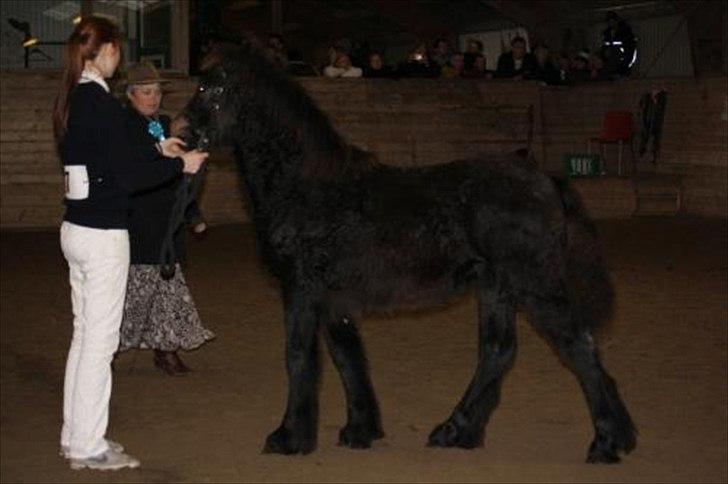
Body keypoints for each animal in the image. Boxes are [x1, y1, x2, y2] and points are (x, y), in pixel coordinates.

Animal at [180, 41, 637, 463]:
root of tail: (545, 179)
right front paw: (359, 430)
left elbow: (298, 357)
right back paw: (458, 431)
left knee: (578, 346)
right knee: (498, 351)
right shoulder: (334, 298)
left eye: (208, 87)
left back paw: (605, 442)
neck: (307, 186)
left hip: (535, 286)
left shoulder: (301, 288)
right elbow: (348, 359)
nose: (181, 133)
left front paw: (290, 437)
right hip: (497, 287)